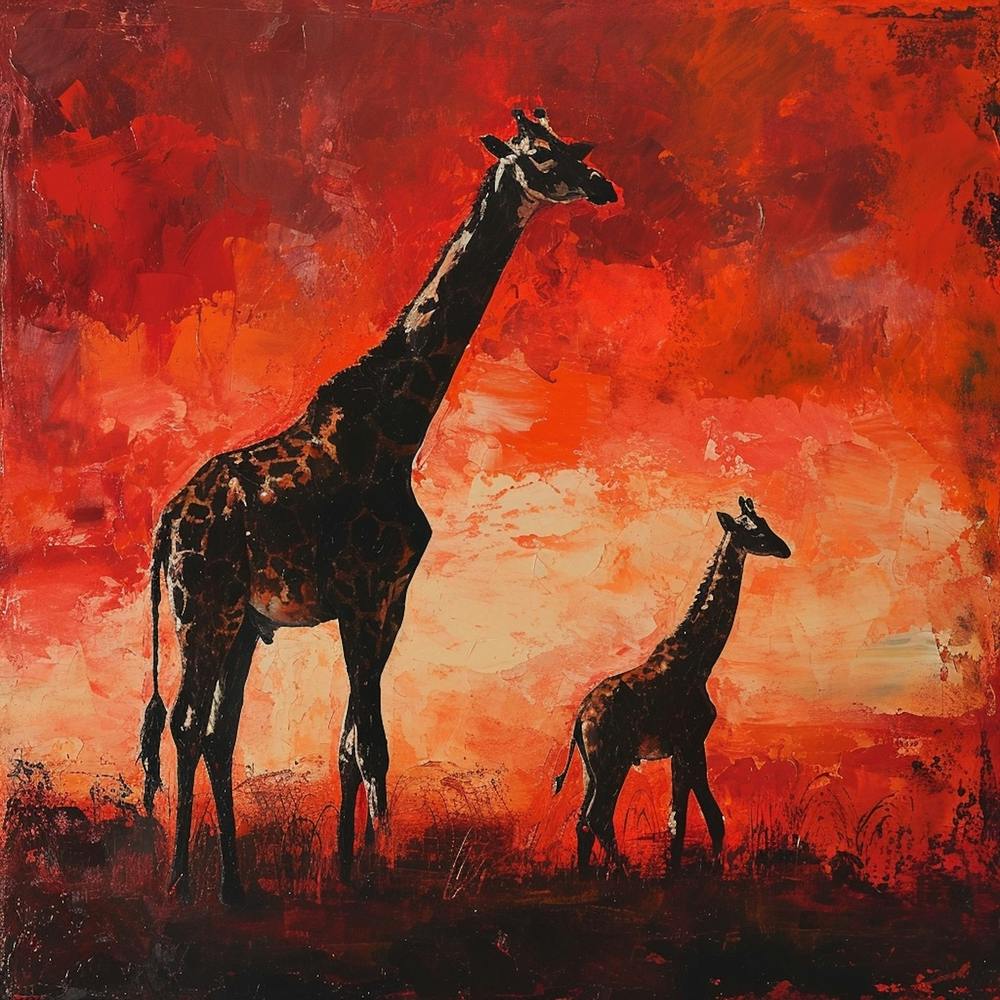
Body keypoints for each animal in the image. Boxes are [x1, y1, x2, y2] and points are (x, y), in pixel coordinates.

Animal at [138, 109, 618, 903]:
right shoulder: (361, 597)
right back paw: (179, 882)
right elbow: (370, 745)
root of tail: (165, 525)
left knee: (215, 732)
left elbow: (352, 745)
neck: (398, 430)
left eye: (571, 147)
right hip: (202, 610)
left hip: (243, 625)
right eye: (539, 156)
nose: (602, 185)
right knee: (182, 724)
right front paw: (373, 874)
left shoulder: (391, 600)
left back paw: (234, 885)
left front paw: (350, 867)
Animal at [552, 497, 790, 876]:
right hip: (613, 759)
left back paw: (585, 875)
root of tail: (580, 717)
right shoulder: (688, 741)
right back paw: (625, 874)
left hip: (591, 767)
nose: (784, 548)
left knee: (583, 821)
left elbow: (697, 819)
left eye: (765, 523)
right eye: (754, 532)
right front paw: (681, 875)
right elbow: (690, 818)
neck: (699, 660)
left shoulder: (689, 746)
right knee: (598, 816)